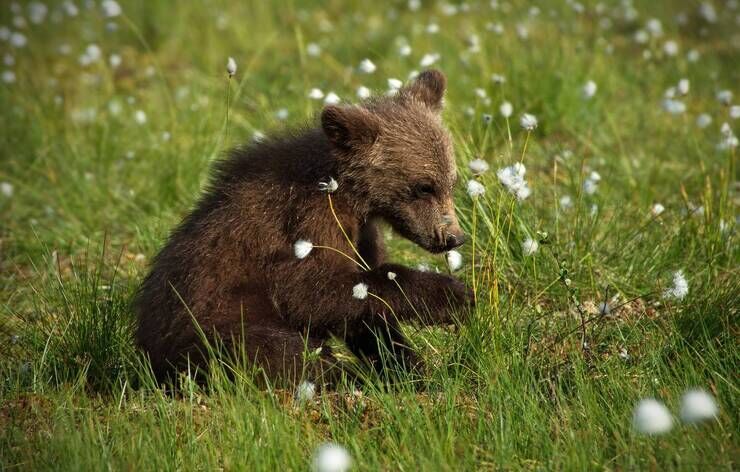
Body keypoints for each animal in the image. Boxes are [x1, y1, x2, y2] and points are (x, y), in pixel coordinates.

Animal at [134, 69, 472, 386]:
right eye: (424, 187)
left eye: (451, 182)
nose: (453, 237)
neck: (349, 195)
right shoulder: (305, 222)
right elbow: (311, 292)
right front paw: (452, 296)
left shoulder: (360, 233)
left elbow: (366, 312)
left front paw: (407, 365)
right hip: (214, 325)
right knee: (277, 351)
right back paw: (344, 374)